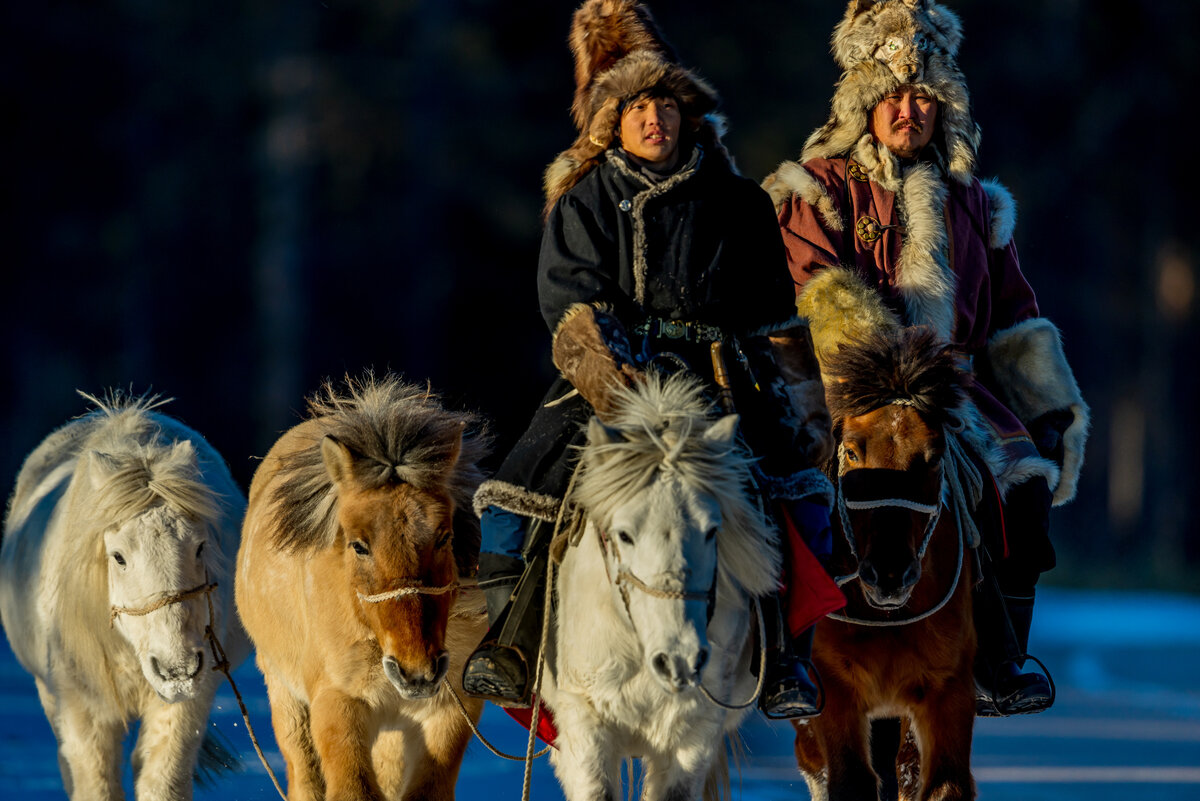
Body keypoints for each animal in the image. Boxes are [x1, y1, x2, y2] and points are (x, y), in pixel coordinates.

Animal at [0, 393, 248, 801]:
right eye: (118, 557)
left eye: (200, 547)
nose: (177, 668)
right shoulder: (82, 708)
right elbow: (97, 787)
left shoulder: (185, 705)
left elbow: (162, 783)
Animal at [236, 376, 489, 801]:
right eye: (358, 545)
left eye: (445, 536)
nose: (416, 672)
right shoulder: (338, 701)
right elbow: (352, 790)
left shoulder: (450, 710)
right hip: (286, 699)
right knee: (304, 779)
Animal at [796, 326, 984, 801]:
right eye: (851, 452)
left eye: (934, 457)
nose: (889, 575)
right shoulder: (835, 689)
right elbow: (850, 780)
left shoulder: (947, 690)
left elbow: (941, 784)